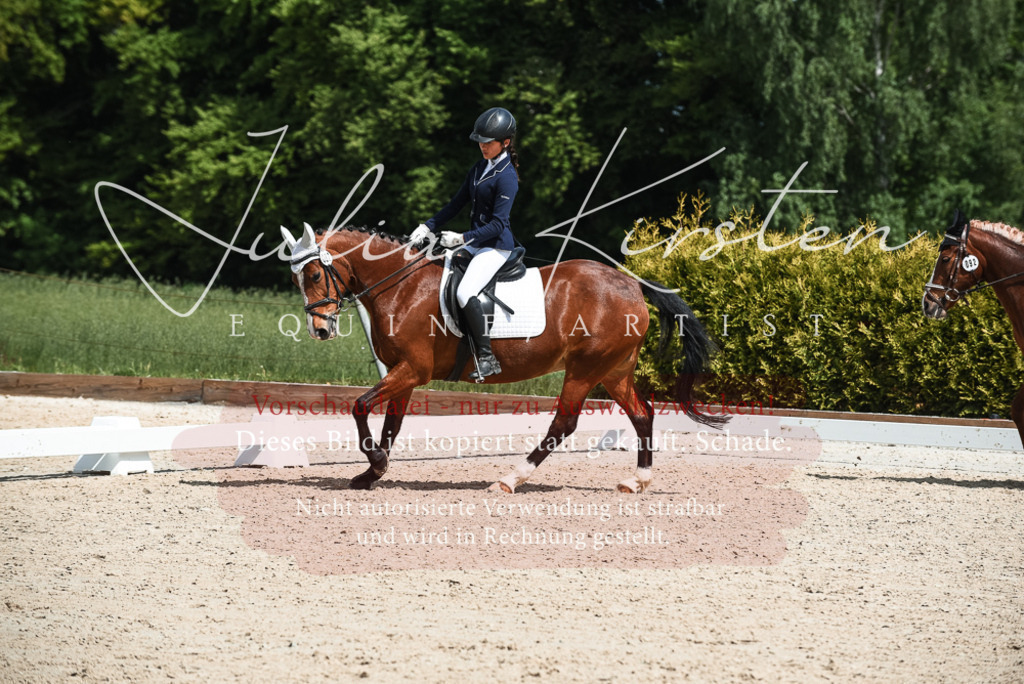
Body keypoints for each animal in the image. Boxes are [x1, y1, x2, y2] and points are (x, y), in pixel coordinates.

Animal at [281, 222, 728, 493]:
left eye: (315, 275)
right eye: (296, 278)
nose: (320, 330)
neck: (402, 287)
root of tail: (631, 283)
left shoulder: (413, 370)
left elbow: (359, 406)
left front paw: (374, 462)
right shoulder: (400, 373)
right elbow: (391, 423)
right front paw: (373, 472)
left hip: (586, 368)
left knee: (564, 423)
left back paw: (510, 479)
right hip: (614, 369)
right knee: (641, 414)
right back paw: (637, 481)